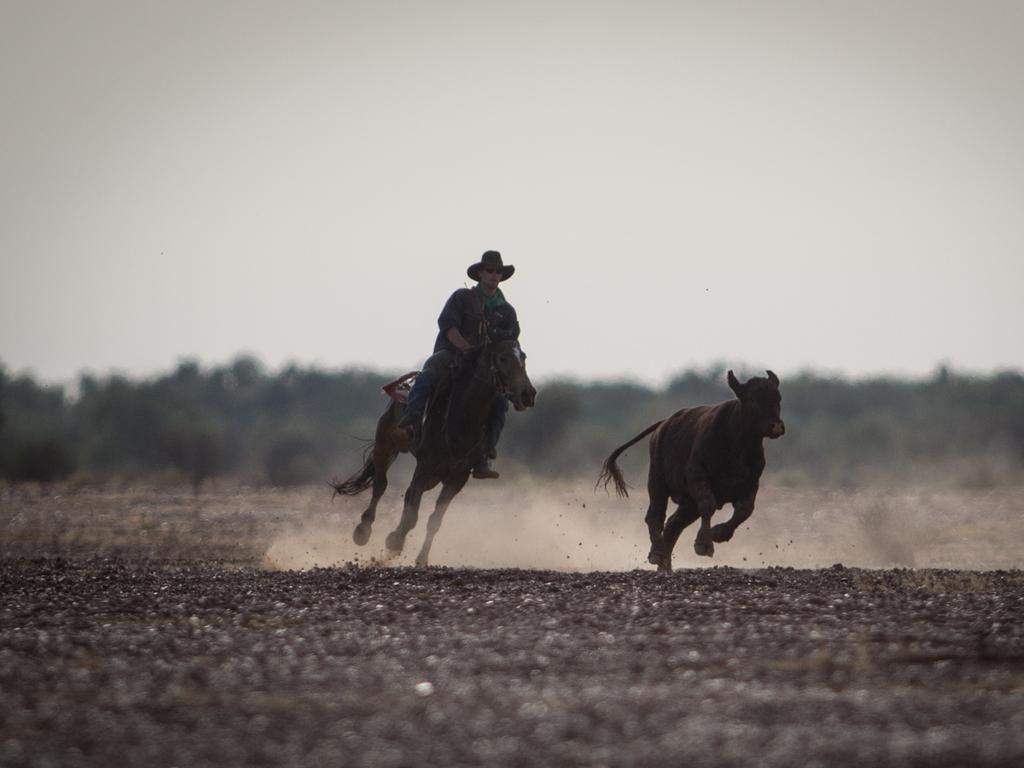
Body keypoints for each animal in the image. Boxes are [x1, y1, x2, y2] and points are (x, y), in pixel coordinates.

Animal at [331, 339, 536, 569]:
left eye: (523, 357)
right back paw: (362, 531)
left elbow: (435, 520)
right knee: (380, 485)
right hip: (386, 444)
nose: (528, 394)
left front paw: (421, 558)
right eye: (502, 358)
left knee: (403, 492)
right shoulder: (425, 467)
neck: (462, 419)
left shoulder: (457, 478)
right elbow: (412, 516)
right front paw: (394, 541)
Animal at [598, 372, 782, 573]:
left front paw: (718, 533)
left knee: (673, 524)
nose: (776, 426)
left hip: (688, 503)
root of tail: (663, 425)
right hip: (657, 483)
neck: (737, 444)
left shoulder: (751, 483)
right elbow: (708, 505)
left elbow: (744, 510)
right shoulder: (698, 475)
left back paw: (665, 565)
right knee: (655, 515)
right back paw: (657, 554)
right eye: (752, 399)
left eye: (778, 398)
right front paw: (704, 545)